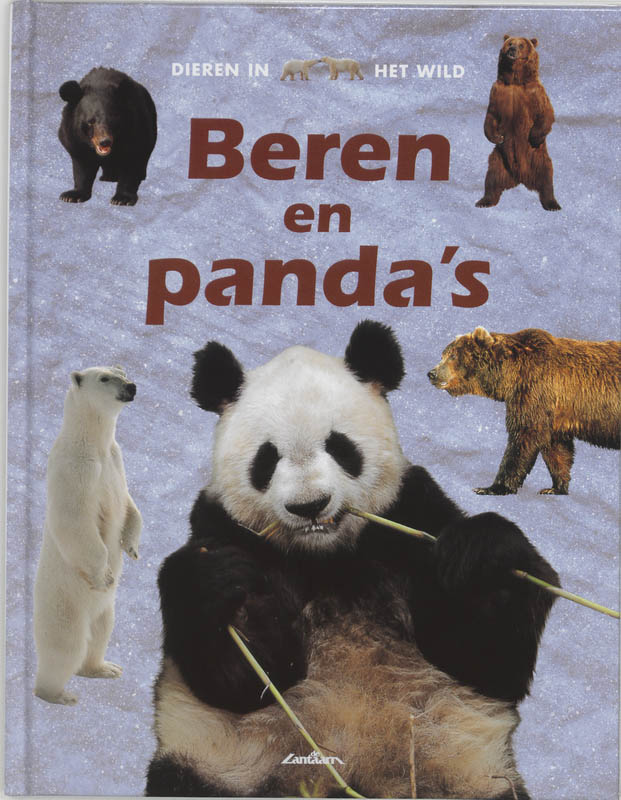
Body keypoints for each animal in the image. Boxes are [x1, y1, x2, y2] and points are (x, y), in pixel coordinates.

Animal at [146, 320, 557, 799]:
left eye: (340, 446)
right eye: (267, 459)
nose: (310, 506)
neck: (329, 556)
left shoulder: (411, 514)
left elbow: (482, 657)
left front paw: (480, 557)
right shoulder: (224, 528)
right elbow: (246, 677)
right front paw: (220, 583)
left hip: (469, 776)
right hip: (218, 767)